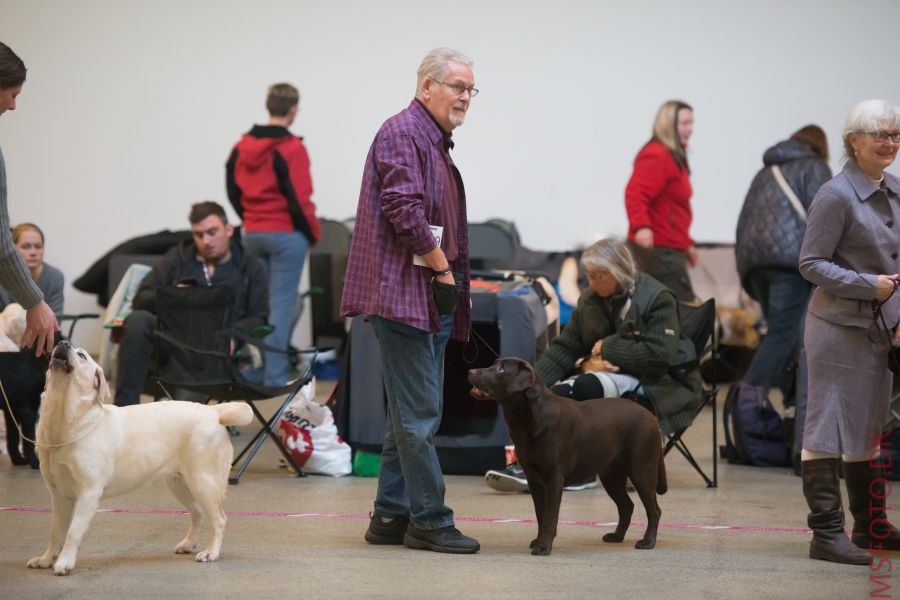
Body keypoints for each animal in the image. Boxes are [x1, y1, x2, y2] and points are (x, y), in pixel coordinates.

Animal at [26, 340, 251, 576]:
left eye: (82, 355)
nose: (63, 342)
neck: (65, 420)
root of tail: (214, 411)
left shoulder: (88, 493)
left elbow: (73, 532)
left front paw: (64, 562)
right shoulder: (58, 495)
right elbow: (55, 533)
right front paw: (46, 559)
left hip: (203, 480)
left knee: (219, 519)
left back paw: (211, 553)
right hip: (178, 482)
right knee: (198, 512)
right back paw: (188, 544)